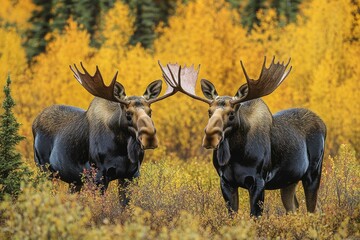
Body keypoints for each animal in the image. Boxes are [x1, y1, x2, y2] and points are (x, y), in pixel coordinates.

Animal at [32, 62, 177, 204]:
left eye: (150, 111)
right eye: (128, 114)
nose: (150, 138)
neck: (123, 151)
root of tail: (34, 122)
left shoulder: (132, 175)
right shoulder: (99, 176)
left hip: (74, 180)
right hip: (44, 169)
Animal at [165, 57, 328, 217]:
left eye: (231, 113)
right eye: (209, 111)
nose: (210, 137)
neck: (235, 156)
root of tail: (323, 124)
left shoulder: (258, 180)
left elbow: (254, 216)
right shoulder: (226, 181)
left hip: (313, 172)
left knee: (313, 209)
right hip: (289, 180)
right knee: (295, 207)